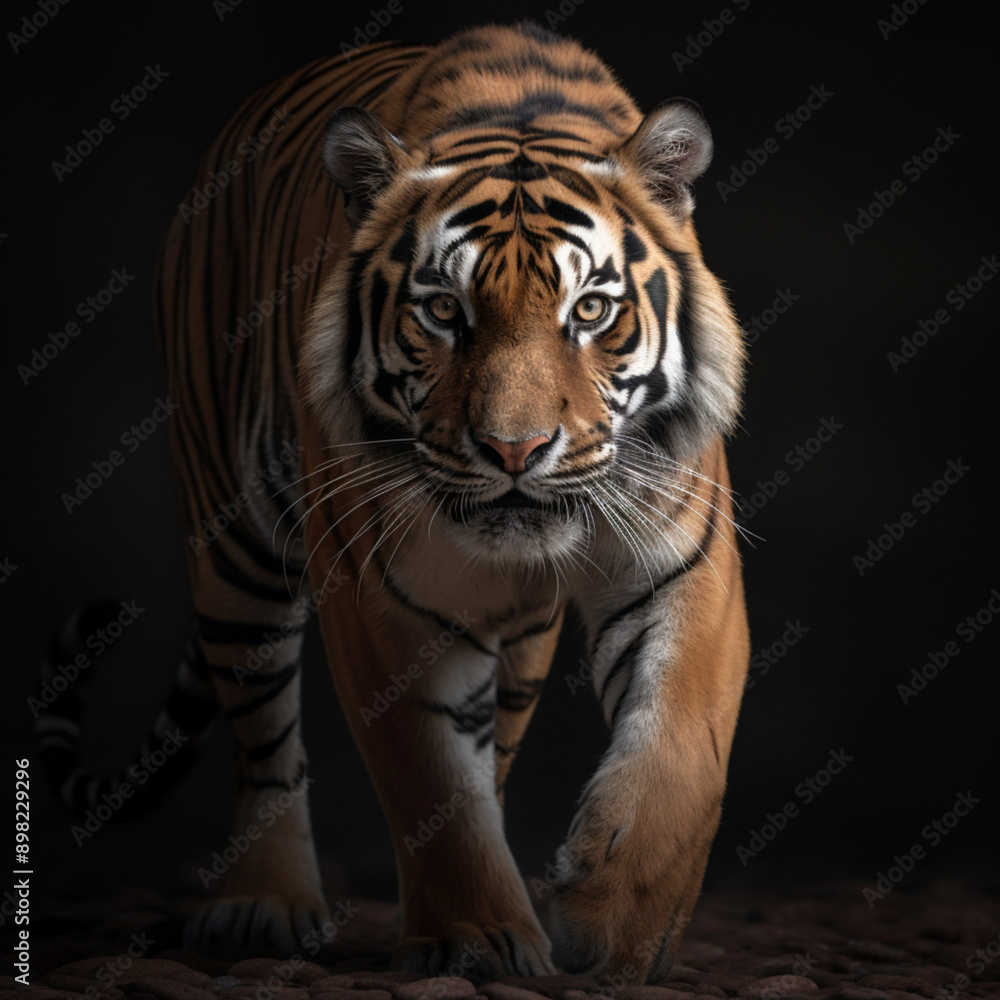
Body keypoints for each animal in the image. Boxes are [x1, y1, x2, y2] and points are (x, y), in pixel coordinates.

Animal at [37, 22, 750, 985]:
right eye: (444, 311)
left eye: (592, 310)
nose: (515, 450)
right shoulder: (378, 595)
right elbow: (428, 776)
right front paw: (476, 936)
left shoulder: (685, 560)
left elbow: (680, 740)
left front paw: (618, 921)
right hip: (235, 545)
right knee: (263, 739)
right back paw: (263, 904)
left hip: (520, 641)